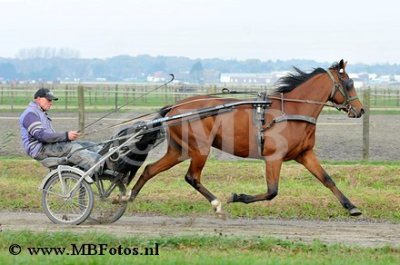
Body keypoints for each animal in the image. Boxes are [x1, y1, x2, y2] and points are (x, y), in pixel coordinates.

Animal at [116, 59, 366, 217]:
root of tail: (175, 108)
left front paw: (351, 206)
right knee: (192, 177)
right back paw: (217, 204)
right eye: (349, 83)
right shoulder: (273, 157)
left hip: (179, 150)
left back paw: (128, 198)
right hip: (200, 149)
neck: (291, 111)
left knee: (150, 169)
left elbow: (327, 179)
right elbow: (272, 191)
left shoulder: (305, 154)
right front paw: (237, 197)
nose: (360, 110)